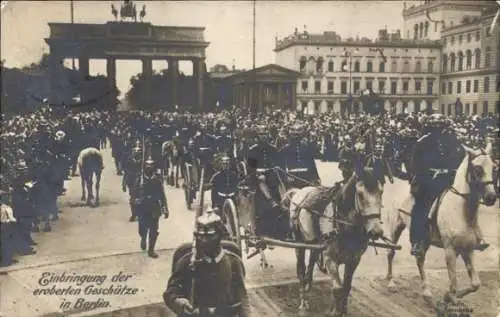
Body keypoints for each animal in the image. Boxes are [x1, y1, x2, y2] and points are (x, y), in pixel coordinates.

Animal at [284, 167, 384, 314]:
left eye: (381, 192)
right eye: (360, 194)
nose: (375, 231)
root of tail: (299, 192)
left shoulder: (354, 260)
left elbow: (347, 287)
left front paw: (343, 310)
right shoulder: (330, 258)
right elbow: (338, 289)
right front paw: (336, 311)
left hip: (315, 244)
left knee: (311, 263)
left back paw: (308, 287)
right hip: (299, 243)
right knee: (301, 269)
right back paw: (303, 301)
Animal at [384, 143, 498, 304]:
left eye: (494, 168)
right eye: (477, 169)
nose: (491, 197)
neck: (460, 211)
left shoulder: (467, 249)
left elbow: (475, 284)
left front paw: (451, 295)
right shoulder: (450, 250)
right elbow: (454, 283)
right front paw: (450, 297)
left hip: (424, 240)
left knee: (420, 259)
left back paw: (426, 292)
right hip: (395, 228)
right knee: (391, 252)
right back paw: (391, 283)